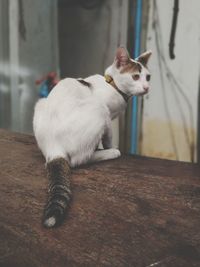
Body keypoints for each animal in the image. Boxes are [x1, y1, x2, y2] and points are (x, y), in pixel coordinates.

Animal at [32, 46, 152, 228]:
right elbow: (108, 136)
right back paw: (110, 153)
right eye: (135, 77)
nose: (146, 88)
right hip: (98, 108)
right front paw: (110, 146)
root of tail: (53, 148)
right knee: (78, 160)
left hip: (40, 104)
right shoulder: (108, 117)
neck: (113, 86)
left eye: (148, 77)